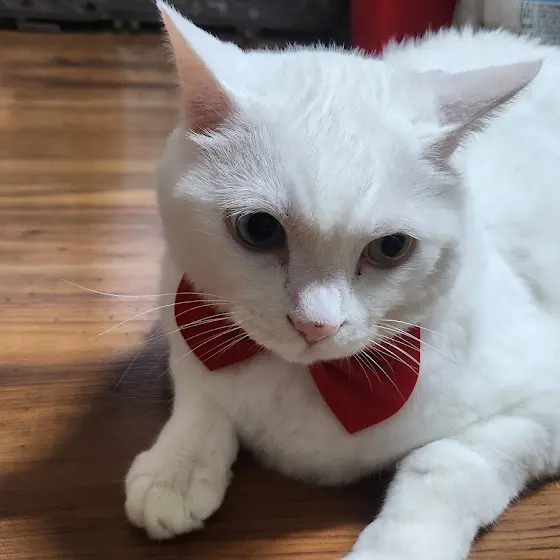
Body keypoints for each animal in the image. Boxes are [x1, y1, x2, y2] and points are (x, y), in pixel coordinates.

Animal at [124, 2, 560, 559]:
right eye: (258, 229)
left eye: (391, 248)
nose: (315, 324)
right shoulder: (184, 308)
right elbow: (200, 393)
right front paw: (176, 468)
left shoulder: (540, 406)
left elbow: (447, 466)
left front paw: (399, 546)